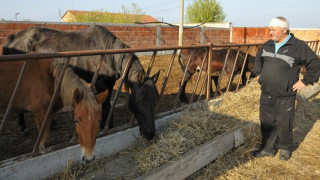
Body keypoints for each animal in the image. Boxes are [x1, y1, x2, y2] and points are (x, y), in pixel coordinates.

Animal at [3, 25, 160, 141]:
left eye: (155, 100)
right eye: (141, 100)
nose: (150, 134)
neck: (108, 54)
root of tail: (13, 38)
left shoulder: (109, 83)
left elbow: (108, 104)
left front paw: (108, 125)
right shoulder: (101, 83)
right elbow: (105, 105)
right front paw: (105, 127)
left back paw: (51, 123)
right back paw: (23, 127)